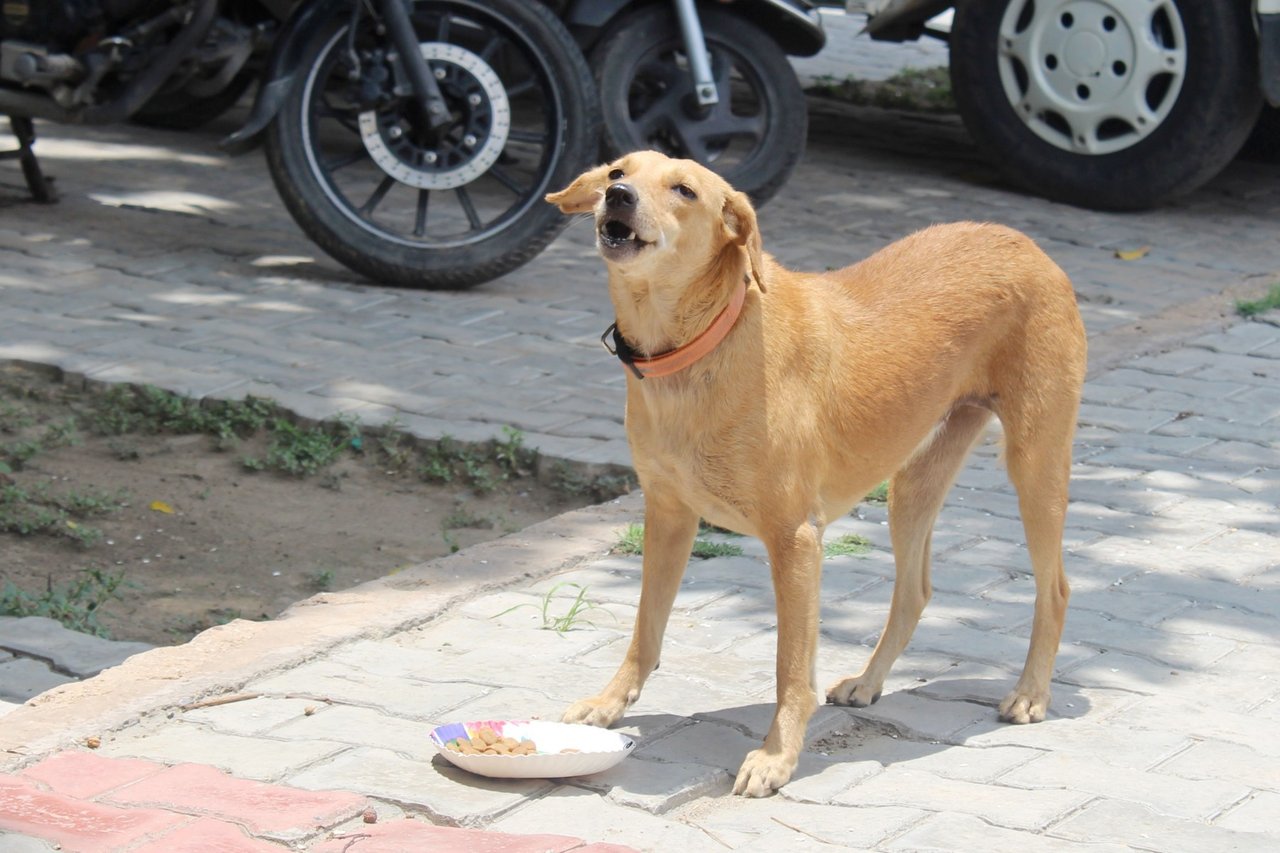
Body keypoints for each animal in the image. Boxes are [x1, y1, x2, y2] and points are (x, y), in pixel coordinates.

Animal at [545, 149, 1085, 794]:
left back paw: (1030, 694)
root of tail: (1024, 241)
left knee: (1055, 589)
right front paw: (609, 703)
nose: (619, 197)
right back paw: (868, 683)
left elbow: (790, 668)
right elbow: (644, 630)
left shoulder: (796, 539)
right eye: (617, 171)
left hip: (1035, 464)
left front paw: (776, 757)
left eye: (684, 190)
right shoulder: (669, 516)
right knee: (914, 592)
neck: (705, 343)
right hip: (912, 481)